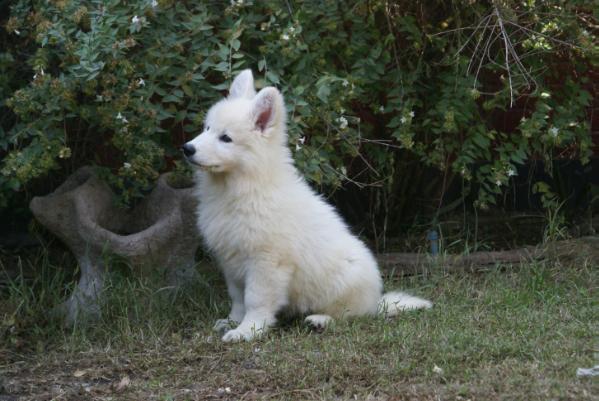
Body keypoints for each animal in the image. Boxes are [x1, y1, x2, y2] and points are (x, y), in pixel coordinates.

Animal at [183, 69, 432, 340]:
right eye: (207, 128)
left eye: (225, 138)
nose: (187, 148)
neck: (245, 186)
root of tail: (377, 303)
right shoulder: (231, 260)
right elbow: (238, 298)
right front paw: (232, 321)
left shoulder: (266, 263)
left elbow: (255, 300)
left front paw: (248, 331)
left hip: (344, 285)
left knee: (349, 316)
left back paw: (320, 320)